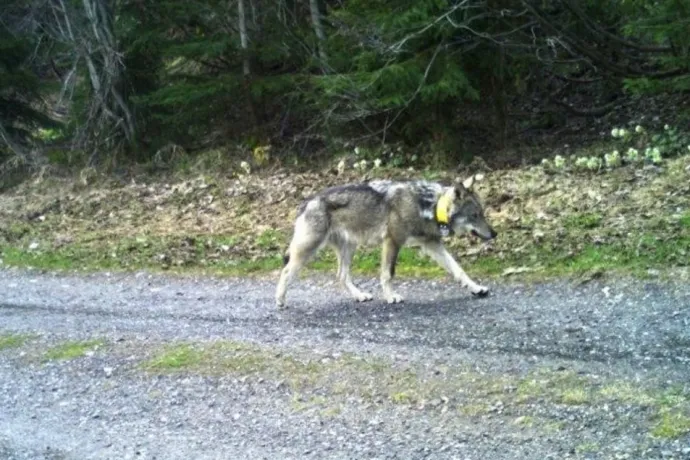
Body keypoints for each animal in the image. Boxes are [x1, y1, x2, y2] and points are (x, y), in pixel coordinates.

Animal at [274, 176, 494, 310]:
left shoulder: (432, 244)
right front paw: (390, 297)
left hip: (349, 248)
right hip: (309, 250)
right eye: (475, 215)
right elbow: (388, 274)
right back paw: (280, 300)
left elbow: (458, 269)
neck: (427, 205)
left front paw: (476, 288)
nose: (494, 233)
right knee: (286, 271)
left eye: (482, 214)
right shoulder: (392, 241)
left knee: (341, 276)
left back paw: (359, 296)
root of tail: (307, 201)